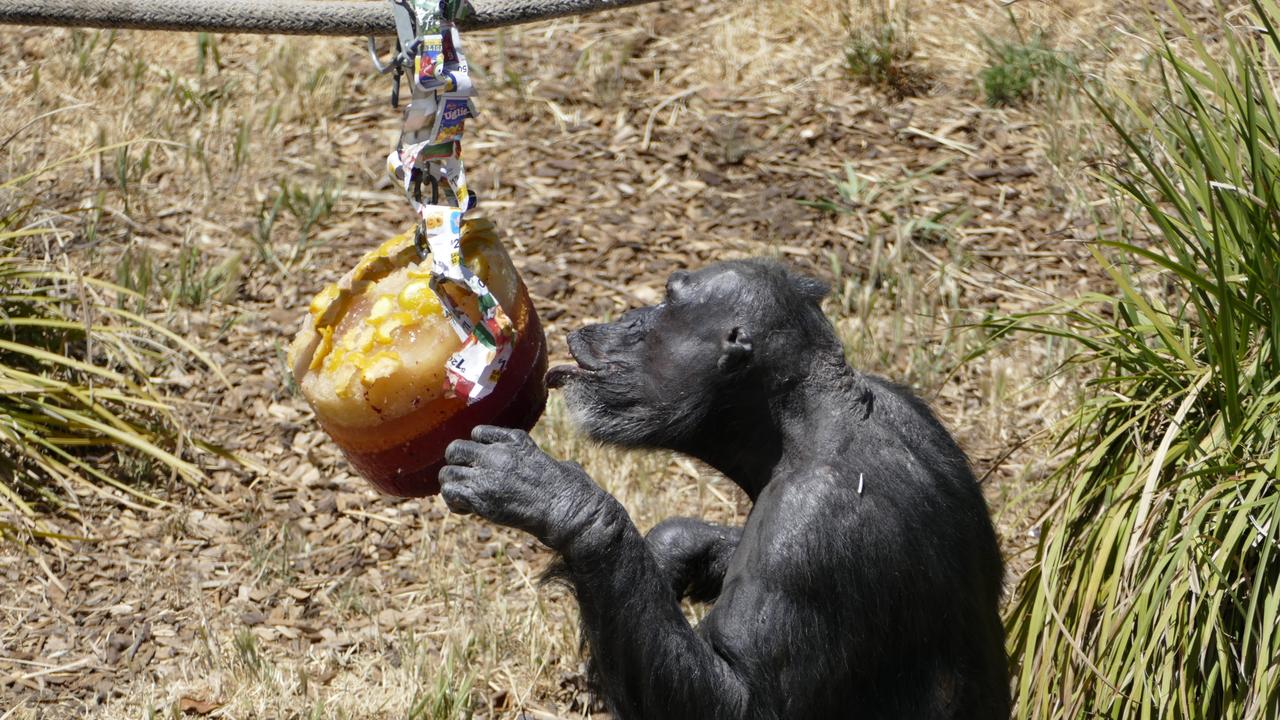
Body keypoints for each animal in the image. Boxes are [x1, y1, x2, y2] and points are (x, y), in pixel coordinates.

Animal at [440, 257, 1008, 717]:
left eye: (667, 302)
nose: (628, 317)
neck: (794, 426)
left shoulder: (804, 535)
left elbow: (740, 703)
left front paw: (555, 497)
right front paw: (673, 548)